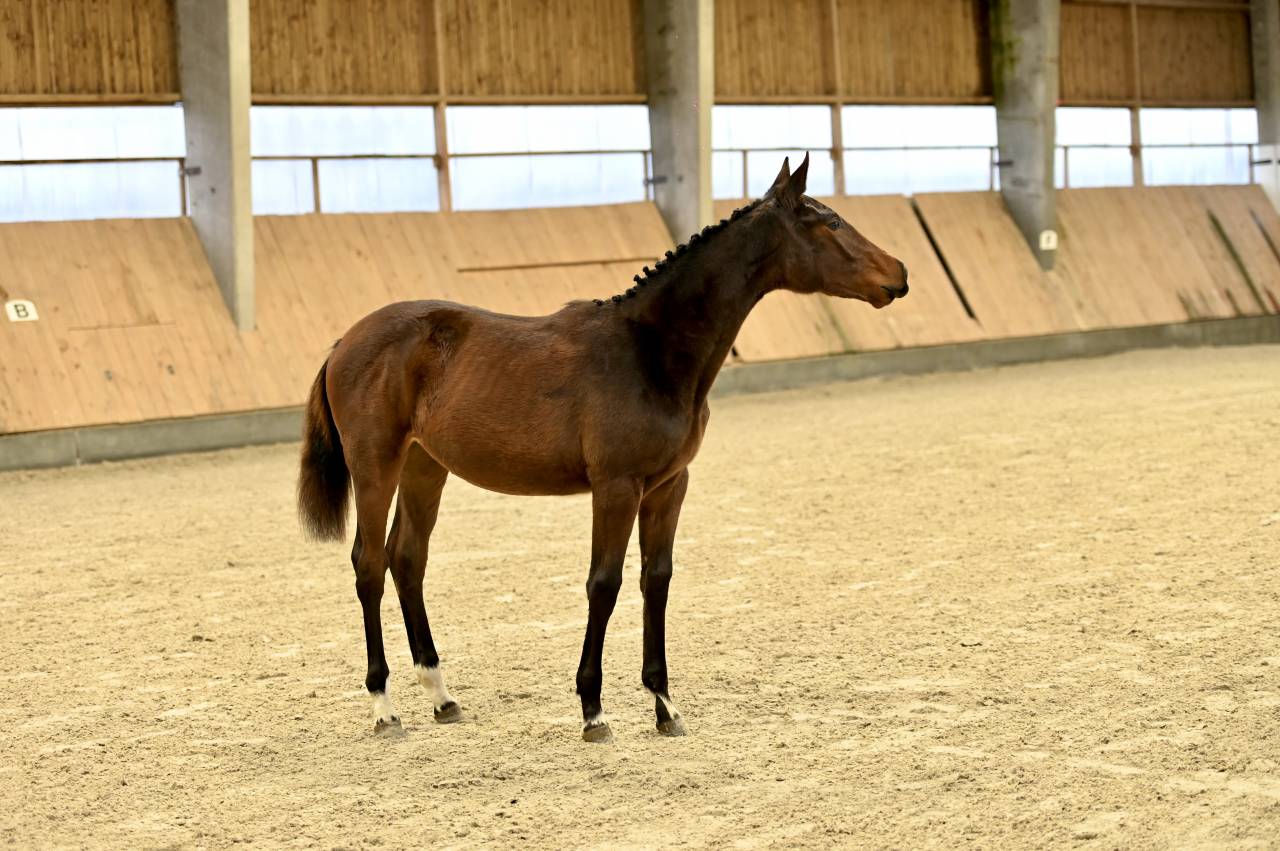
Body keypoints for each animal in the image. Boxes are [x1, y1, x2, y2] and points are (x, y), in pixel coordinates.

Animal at [297, 154, 909, 742]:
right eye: (831, 222)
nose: (899, 274)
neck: (649, 349)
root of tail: (344, 342)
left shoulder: (668, 487)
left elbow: (655, 580)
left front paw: (664, 707)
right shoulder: (616, 487)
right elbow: (605, 584)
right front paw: (593, 710)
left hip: (426, 467)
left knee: (407, 557)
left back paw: (442, 697)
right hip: (376, 467)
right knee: (369, 564)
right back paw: (385, 708)